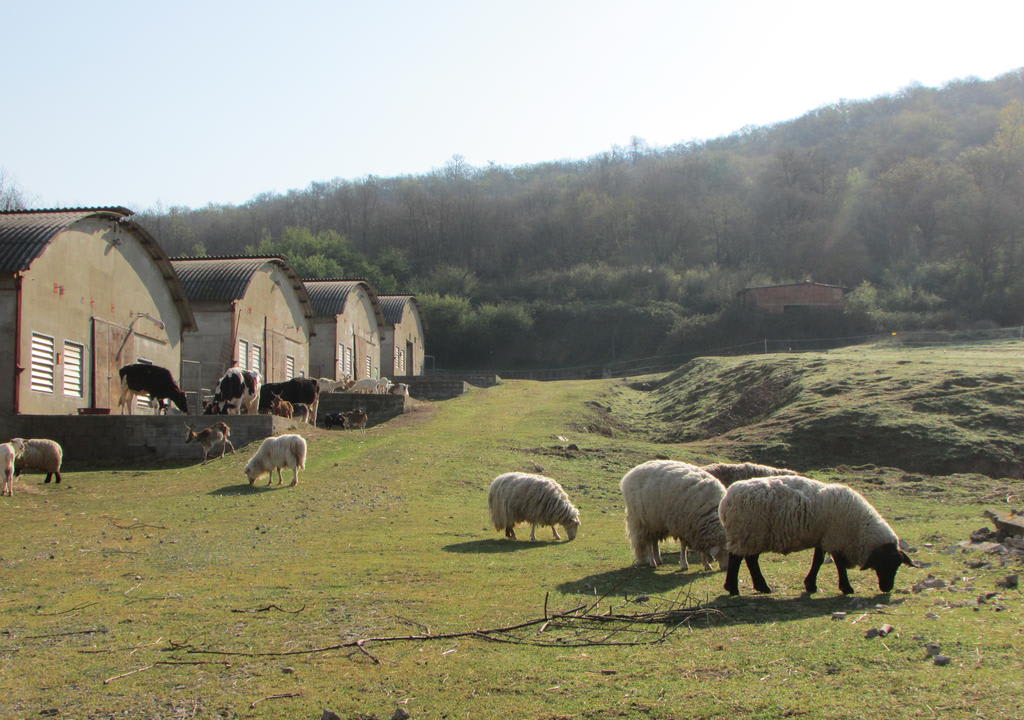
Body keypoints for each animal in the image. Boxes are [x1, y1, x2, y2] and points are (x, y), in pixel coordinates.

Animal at [720, 475, 913, 598]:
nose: (887, 588)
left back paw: (761, 587)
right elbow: (839, 564)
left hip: (753, 535)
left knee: (751, 559)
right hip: (747, 532)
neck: (860, 529)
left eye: (898, 565)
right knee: (737, 558)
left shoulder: (823, 538)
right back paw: (733, 588)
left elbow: (818, 561)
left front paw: (810, 585)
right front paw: (846, 588)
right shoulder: (835, 538)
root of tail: (726, 499)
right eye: (886, 564)